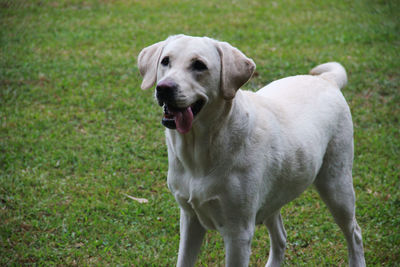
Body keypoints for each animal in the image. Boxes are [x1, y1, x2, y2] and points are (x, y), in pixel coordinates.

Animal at [138, 35, 366, 267]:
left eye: (199, 65)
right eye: (165, 61)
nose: (164, 88)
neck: (201, 150)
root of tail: (327, 80)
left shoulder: (238, 233)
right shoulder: (190, 218)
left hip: (336, 185)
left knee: (355, 233)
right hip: (273, 196)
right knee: (281, 237)